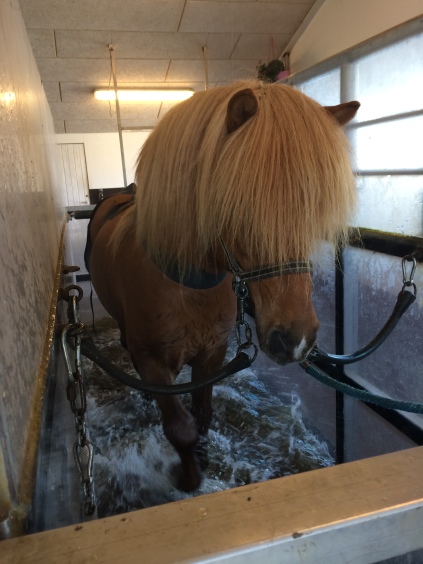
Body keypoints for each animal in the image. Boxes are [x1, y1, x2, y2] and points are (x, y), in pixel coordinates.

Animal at [87, 80, 362, 494]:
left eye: (313, 210)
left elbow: (202, 416)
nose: (295, 340)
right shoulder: (153, 361)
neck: (185, 284)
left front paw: (200, 456)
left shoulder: (212, 354)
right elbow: (180, 427)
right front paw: (188, 477)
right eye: (241, 207)